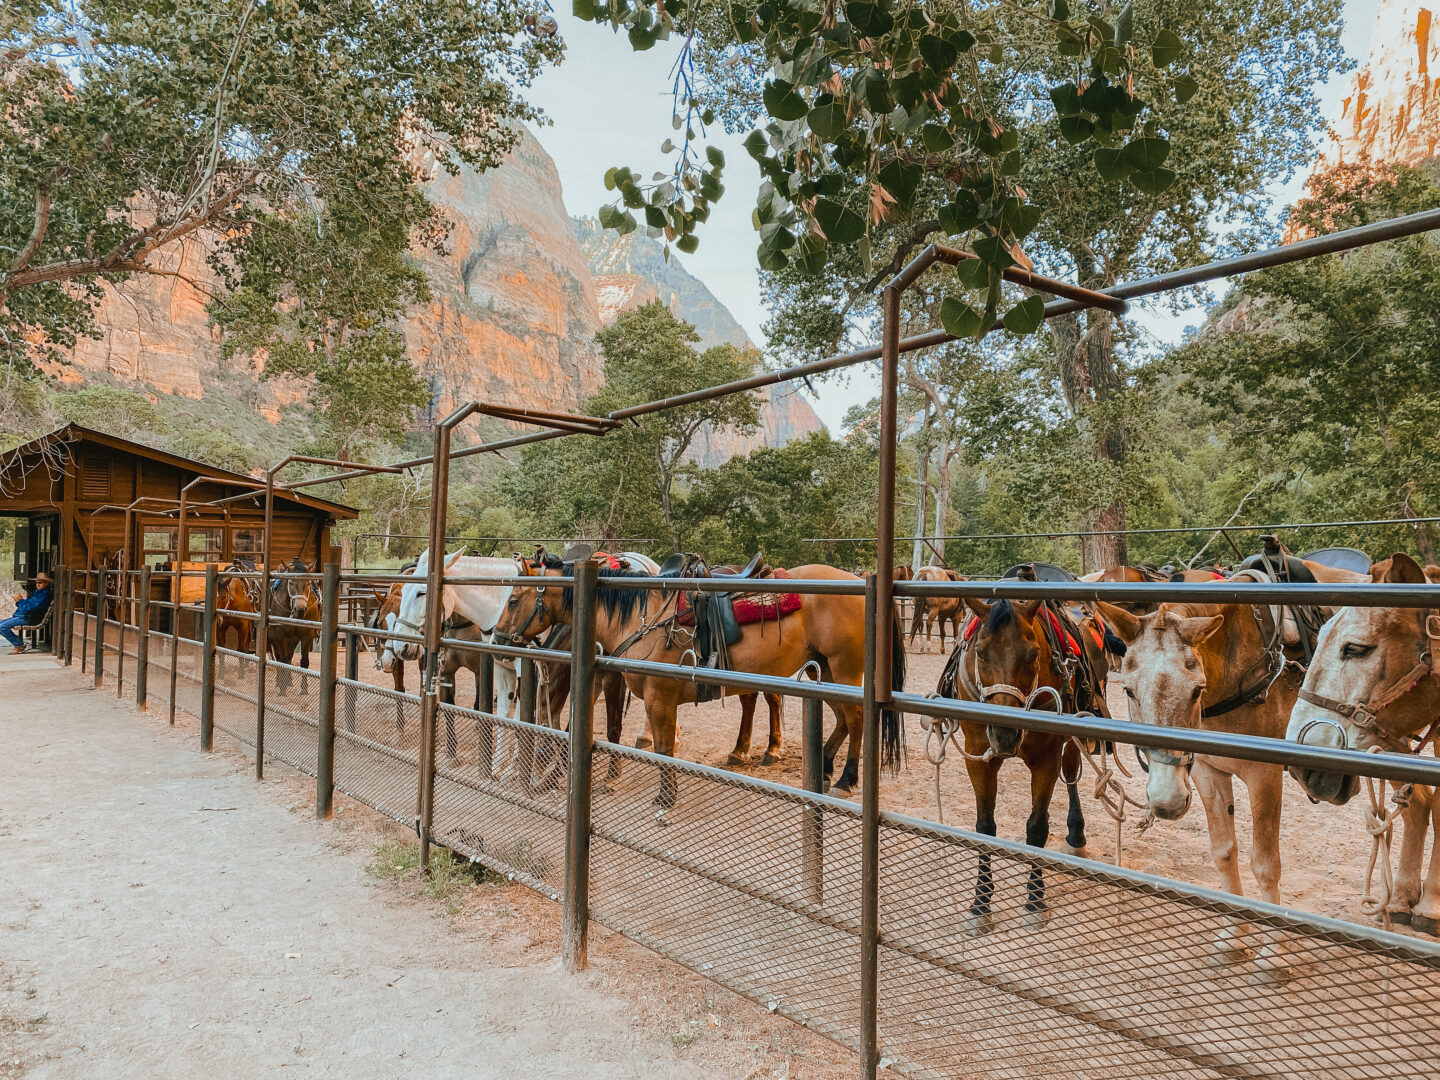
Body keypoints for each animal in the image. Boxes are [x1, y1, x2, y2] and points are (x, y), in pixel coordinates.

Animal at [495, 558, 898, 806]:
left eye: (513, 598)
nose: (497, 638)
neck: (642, 618)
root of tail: (859, 581)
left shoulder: (658, 698)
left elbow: (661, 748)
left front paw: (665, 798)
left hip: (845, 671)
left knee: (857, 721)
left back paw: (845, 779)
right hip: (825, 672)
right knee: (843, 720)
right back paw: (825, 767)